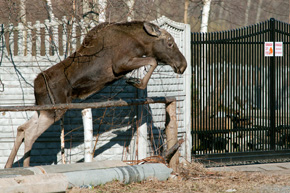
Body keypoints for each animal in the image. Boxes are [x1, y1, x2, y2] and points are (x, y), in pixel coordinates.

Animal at [5, 20, 188, 167]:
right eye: (170, 43)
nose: (183, 65)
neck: (140, 42)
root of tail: (36, 86)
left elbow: (152, 61)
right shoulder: (120, 64)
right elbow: (153, 60)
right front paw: (136, 82)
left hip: (43, 110)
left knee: (22, 128)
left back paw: (8, 166)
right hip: (55, 110)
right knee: (30, 134)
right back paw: (25, 168)